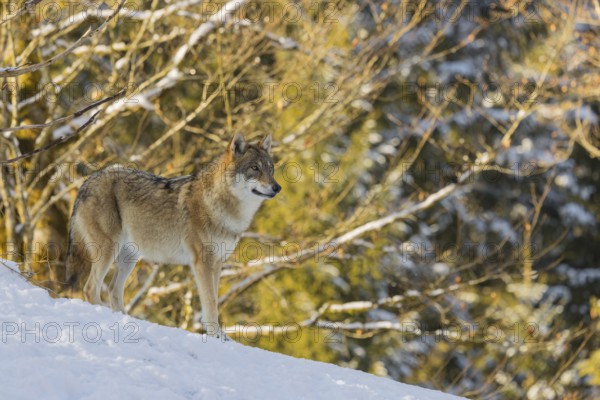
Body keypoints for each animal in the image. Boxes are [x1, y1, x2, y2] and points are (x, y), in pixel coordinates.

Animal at [64, 134, 280, 334]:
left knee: (113, 290)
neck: (221, 206)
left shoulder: (218, 262)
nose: (277, 187)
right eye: (255, 168)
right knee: (90, 288)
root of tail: (88, 180)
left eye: (271, 169)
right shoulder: (203, 262)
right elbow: (211, 303)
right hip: (109, 251)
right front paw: (216, 336)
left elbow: (214, 301)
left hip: (129, 257)